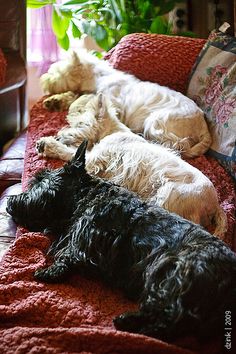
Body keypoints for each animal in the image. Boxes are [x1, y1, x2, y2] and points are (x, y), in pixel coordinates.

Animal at [37, 92, 227, 236]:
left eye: (81, 123)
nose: (60, 134)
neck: (111, 131)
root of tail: (215, 206)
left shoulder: (96, 159)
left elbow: (70, 153)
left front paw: (48, 144)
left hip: (168, 196)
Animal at [39, 49, 211, 158]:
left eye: (56, 72)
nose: (44, 80)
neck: (98, 77)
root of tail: (204, 127)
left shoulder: (112, 104)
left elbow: (80, 103)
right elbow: (76, 98)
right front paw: (54, 101)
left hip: (156, 122)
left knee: (178, 145)